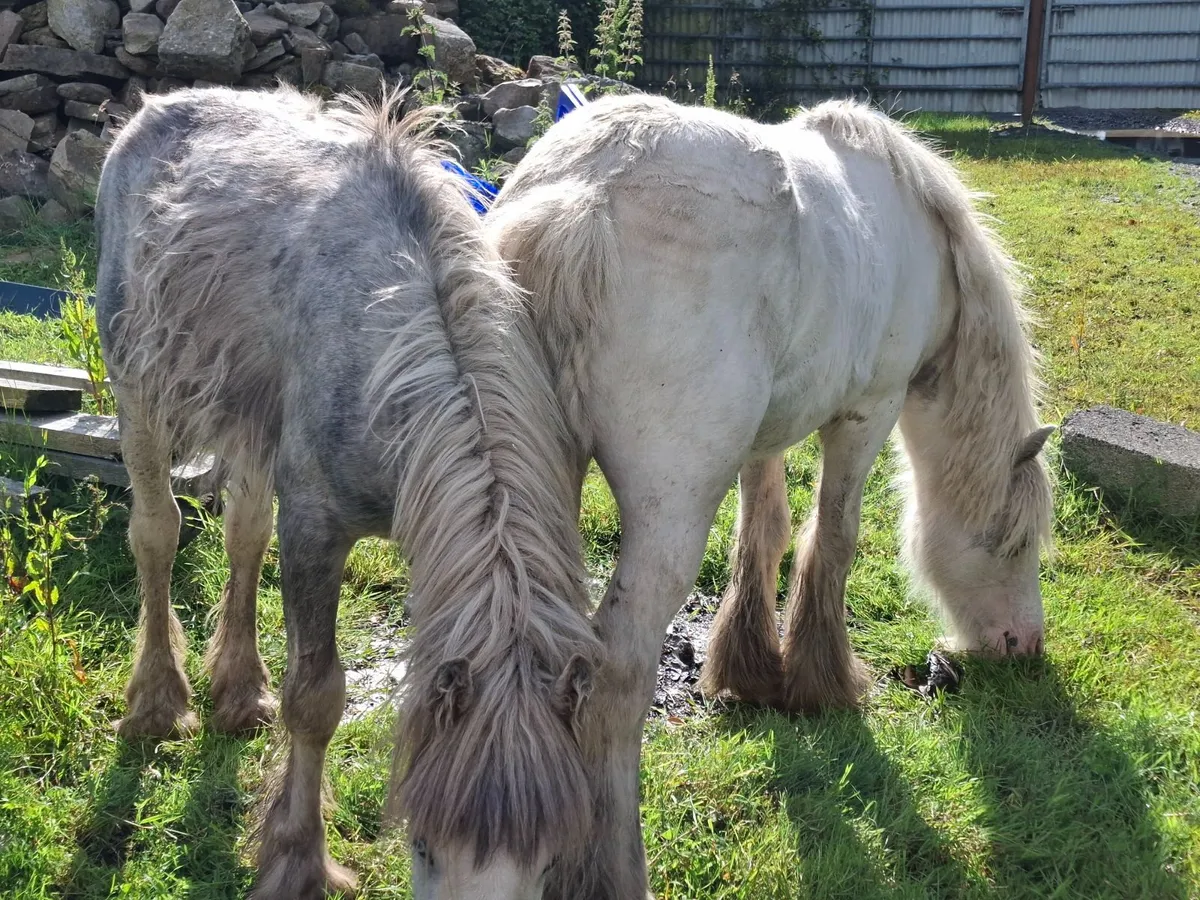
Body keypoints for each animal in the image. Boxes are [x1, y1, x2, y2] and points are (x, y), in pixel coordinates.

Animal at [94, 84, 603, 900]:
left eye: (551, 861)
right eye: (423, 847)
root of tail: (153, 107)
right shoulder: (315, 529)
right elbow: (316, 697)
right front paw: (297, 857)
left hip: (252, 425)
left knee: (242, 536)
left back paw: (239, 693)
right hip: (137, 386)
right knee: (156, 532)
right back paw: (159, 703)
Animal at [485, 93, 1057, 899]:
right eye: (1013, 542)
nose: (1023, 645)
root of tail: (579, 198)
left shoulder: (768, 433)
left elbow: (764, 532)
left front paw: (751, 670)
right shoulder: (866, 413)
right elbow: (833, 538)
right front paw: (821, 681)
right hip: (669, 512)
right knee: (613, 681)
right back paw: (617, 869)